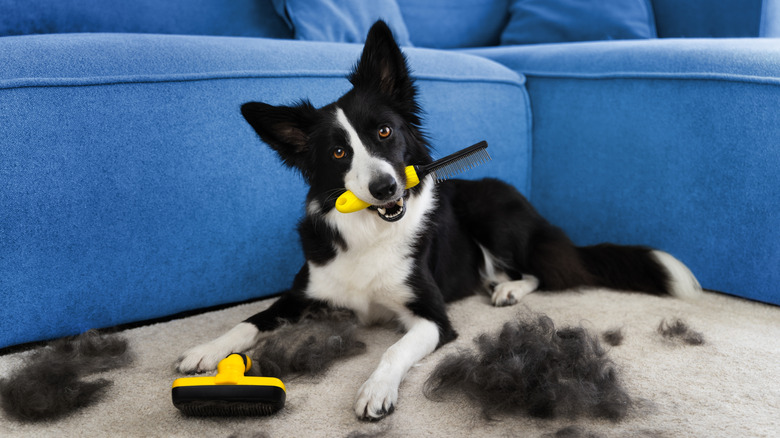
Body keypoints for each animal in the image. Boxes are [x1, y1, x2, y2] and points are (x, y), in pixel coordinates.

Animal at [177, 20, 700, 420]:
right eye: (339, 152)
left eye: (385, 131)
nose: (385, 188)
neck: (373, 230)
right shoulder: (305, 291)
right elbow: (250, 320)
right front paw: (207, 349)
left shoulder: (432, 316)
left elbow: (394, 349)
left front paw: (375, 390)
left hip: (494, 218)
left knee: (541, 271)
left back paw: (509, 289)